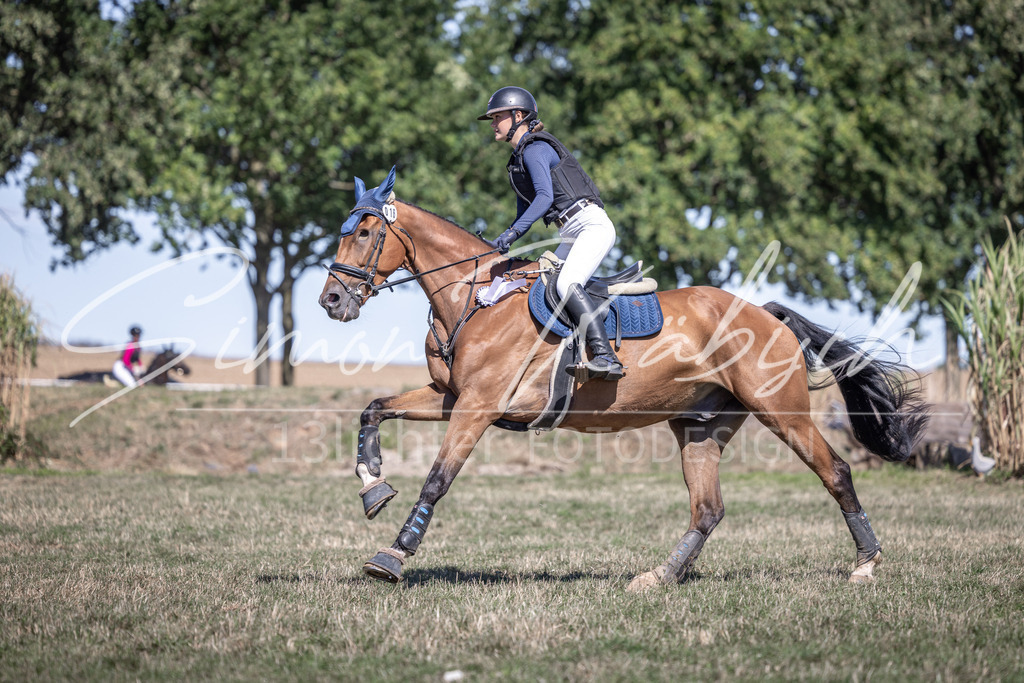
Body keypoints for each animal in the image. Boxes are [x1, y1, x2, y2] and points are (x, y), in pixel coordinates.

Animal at [318, 168, 928, 590]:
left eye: (365, 232)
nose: (331, 301)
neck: (475, 300)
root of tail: (765, 314)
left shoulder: (477, 407)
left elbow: (437, 480)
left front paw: (392, 556)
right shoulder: (450, 398)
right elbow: (375, 407)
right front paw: (373, 486)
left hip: (782, 411)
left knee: (836, 471)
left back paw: (866, 564)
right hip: (700, 426)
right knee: (708, 509)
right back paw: (659, 578)